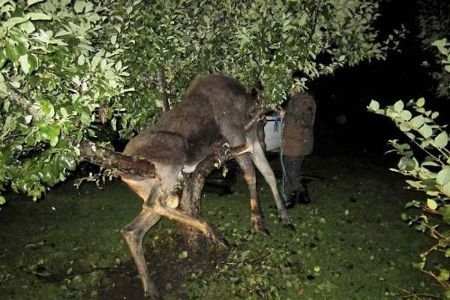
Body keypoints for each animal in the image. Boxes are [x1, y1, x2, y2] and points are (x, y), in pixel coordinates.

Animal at [84, 74, 292, 298]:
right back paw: (213, 232)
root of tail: (121, 172)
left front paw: (284, 217)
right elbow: (251, 174)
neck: (246, 109)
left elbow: (269, 175)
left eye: (265, 122)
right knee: (156, 204)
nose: (266, 141)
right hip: (173, 155)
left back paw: (151, 287)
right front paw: (258, 223)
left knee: (135, 228)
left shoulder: (250, 142)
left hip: (155, 186)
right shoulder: (236, 136)